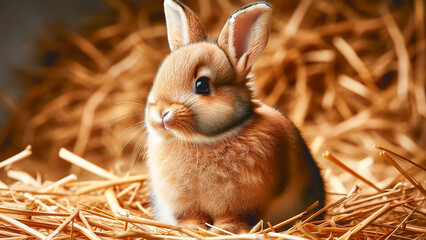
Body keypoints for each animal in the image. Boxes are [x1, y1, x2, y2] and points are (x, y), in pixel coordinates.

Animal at [144, 0, 326, 233]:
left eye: (202, 85)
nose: (160, 114)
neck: (205, 141)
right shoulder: (187, 206)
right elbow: (192, 218)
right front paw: (191, 229)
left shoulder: (239, 206)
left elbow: (231, 219)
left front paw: (224, 231)